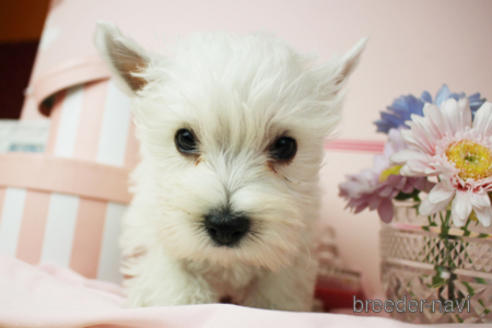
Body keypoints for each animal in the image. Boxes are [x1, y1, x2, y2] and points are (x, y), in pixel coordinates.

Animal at [95, 23, 366, 310]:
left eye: (285, 146)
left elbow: (275, 297)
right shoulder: (160, 240)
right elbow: (179, 287)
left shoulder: (290, 252)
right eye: (184, 138)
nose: (225, 225)